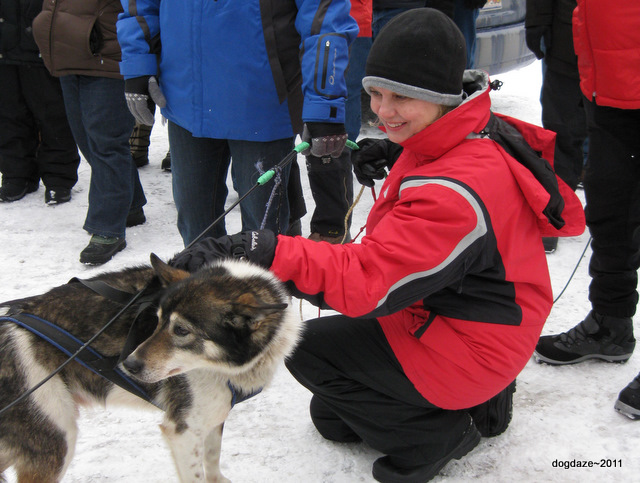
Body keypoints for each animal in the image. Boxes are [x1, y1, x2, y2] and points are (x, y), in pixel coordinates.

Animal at [0, 255, 300, 482]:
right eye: (157, 320)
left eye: (181, 330)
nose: (129, 364)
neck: (225, 369)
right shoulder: (182, 432)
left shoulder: (213, 417)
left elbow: (213, 459)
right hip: (56, 439)